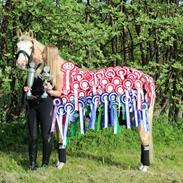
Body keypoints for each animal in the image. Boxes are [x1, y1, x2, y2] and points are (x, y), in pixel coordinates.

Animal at [16, 29, 156, 172]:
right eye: (17, 46)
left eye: (31, 47)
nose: (19, 64)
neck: (61, 76)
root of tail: (146, 78)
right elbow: (60, 138)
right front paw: (59, 162)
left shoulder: (63, 113)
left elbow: (61, 137)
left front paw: (61, 164)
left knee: (145, 138)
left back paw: (144, 167)